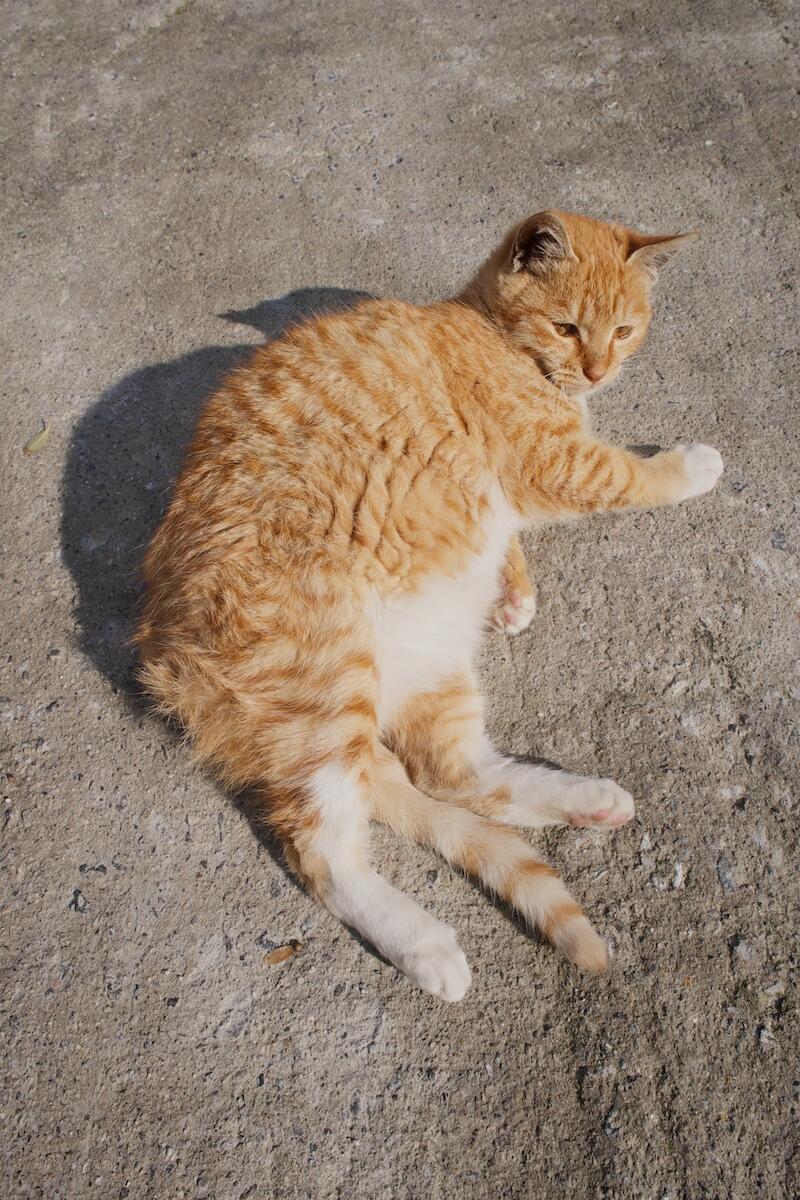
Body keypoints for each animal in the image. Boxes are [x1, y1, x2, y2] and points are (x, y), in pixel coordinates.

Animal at [135, 209, 722, 1001]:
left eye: (624, 330)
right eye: (567, 328)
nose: (600, 371)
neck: (496, 335)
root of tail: (161, 652)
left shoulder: (511, 493)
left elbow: (510, 535)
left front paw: (515, 593)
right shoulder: (560, 465)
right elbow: (635, 475)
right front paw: (690, 466)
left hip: (429, 665)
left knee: (452, 775)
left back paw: (587, 800)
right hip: (326, 679)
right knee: (323, 851)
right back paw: (425, 945)